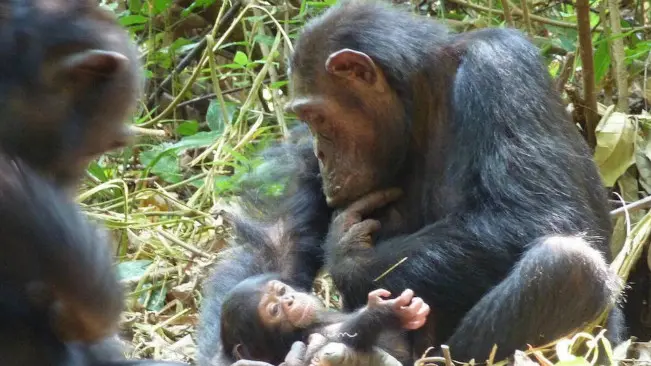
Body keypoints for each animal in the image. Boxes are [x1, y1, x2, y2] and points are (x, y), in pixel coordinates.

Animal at [278, 0, 624, 362]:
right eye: (305, 119)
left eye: (317, 117)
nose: (319, 152)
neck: (421, 101)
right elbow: (285, 246)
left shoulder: (499, 68)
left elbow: (538, 213)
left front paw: (349, 255)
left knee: (568, 266)